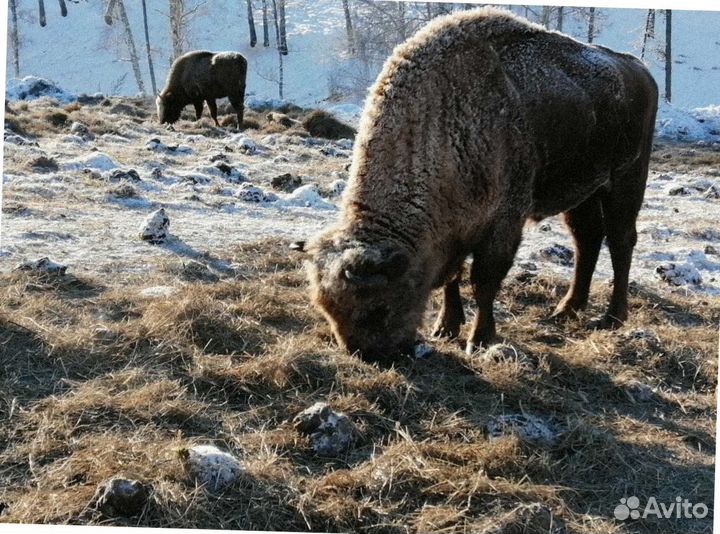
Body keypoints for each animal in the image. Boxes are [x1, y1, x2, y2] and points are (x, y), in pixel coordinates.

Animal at [302, 8, 660, 362]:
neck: (441, 129)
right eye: (327, 309)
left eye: (378, 307)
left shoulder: (503, 223)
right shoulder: (456, 230)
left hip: (625, 181)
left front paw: (479, 339)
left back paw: (612, 317)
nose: (369, 354)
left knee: (620, 241)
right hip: (582, 193)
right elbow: (453, 278)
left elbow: (484, 281)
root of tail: (641, 70)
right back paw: (566, 309)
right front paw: (445, 327)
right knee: (587, 240)